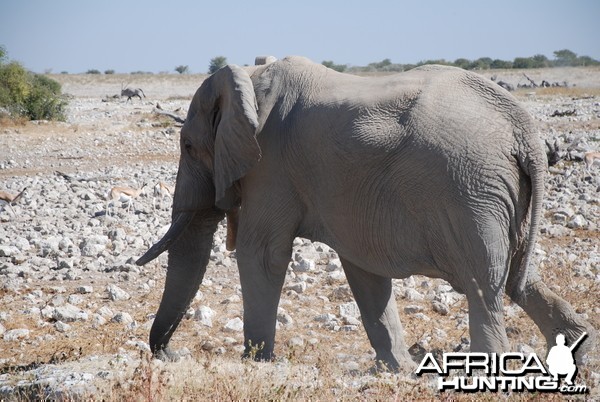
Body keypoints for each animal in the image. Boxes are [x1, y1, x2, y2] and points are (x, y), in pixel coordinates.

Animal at [137, 55, 596, 370]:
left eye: (188, 147)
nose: (172, 355)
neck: (249, 79)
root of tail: (523, 127)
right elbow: (363, 269)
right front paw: (399, 369)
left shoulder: (270, 167)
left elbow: (262, 253)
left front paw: (257, 364)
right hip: (497, 193)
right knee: (518, 275)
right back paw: (579, 349)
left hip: (470, 190)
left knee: (482, 284)